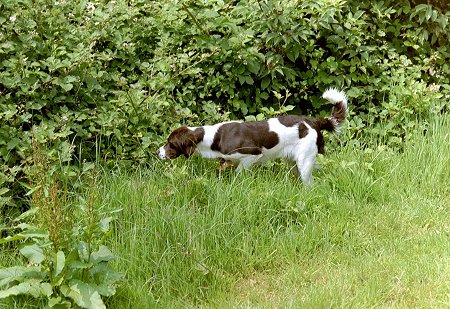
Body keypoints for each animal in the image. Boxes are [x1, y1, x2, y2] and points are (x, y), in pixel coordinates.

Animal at [156, 88, 348, 185]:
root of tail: (314, 121)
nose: (157, 152)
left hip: (304, 160)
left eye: (170, 143)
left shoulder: (252, 154)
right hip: (293, 161)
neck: (212, 137)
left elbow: (240, 171)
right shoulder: (226, 160)